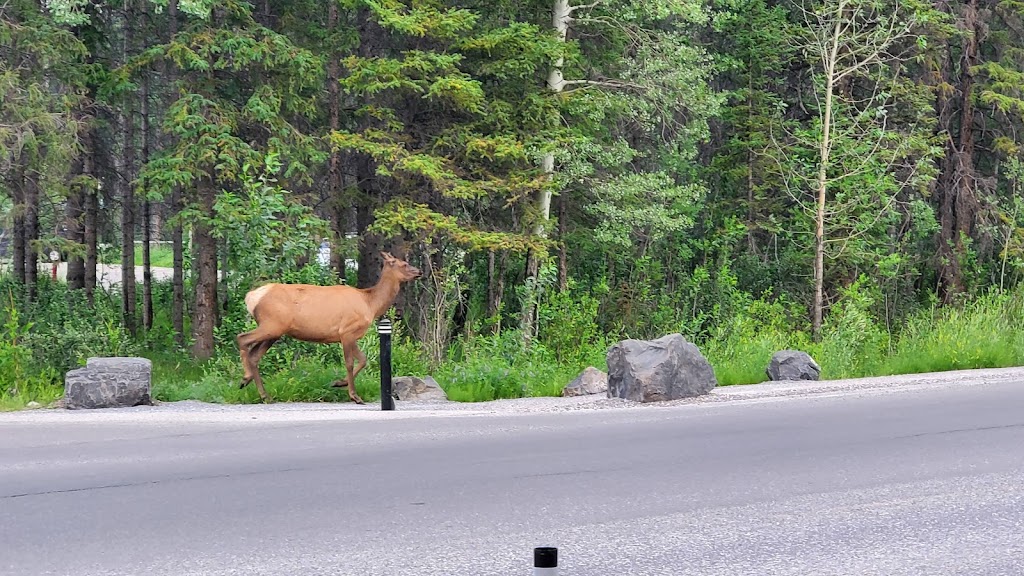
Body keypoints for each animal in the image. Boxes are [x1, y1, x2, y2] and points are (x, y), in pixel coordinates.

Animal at [235, 251, 419, 403]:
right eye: (403, 264)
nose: (419, 272)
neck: (370, 304)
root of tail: (250, 297)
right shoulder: (346, 331)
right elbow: (350, 362)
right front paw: (354, 396)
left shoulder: (350, 335)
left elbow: (363, 359)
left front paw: (339, 383)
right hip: (272, 324)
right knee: (242, 338)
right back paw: (246, 377)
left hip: (275, 330)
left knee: (254, 355)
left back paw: (262, 393)